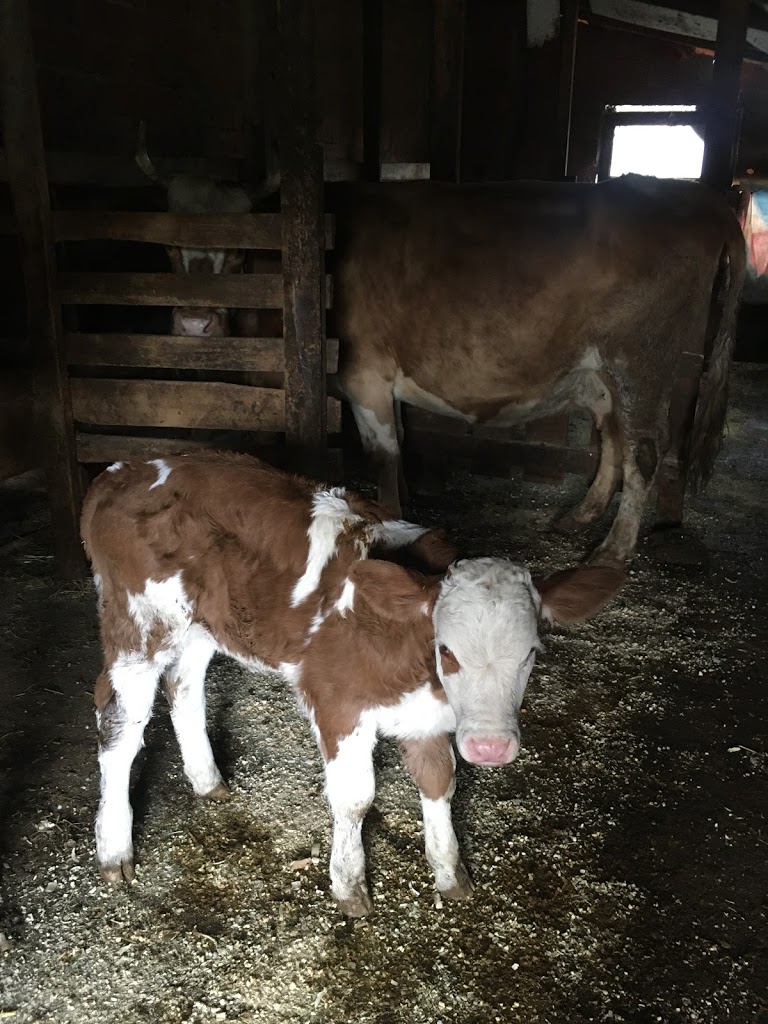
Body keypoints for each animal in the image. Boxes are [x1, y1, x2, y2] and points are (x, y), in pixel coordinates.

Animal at [81, 452, 626, 917]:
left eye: (531, 652)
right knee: (119, 726)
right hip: (138, 626)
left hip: (199, 624)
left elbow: (439, 782)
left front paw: (451, 874)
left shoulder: (428, 715)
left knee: (184, 685)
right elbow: (355, 797)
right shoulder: (336, 703)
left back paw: (207, 780)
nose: (490, 747)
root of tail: (121, 471)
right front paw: (349, 885)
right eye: (447, 650)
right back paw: (114, 848)